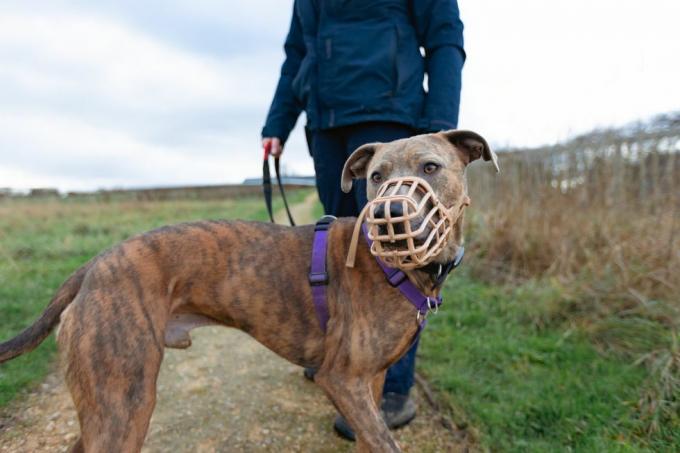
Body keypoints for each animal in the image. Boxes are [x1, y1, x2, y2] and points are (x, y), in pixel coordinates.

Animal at [1, 129, 500, 450]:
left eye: (430, 167)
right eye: (376, 177)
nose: (387, 212)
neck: (400, 269)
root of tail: (93, 266)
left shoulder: (369, 382)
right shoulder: (342, 379)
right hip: (124, 403)